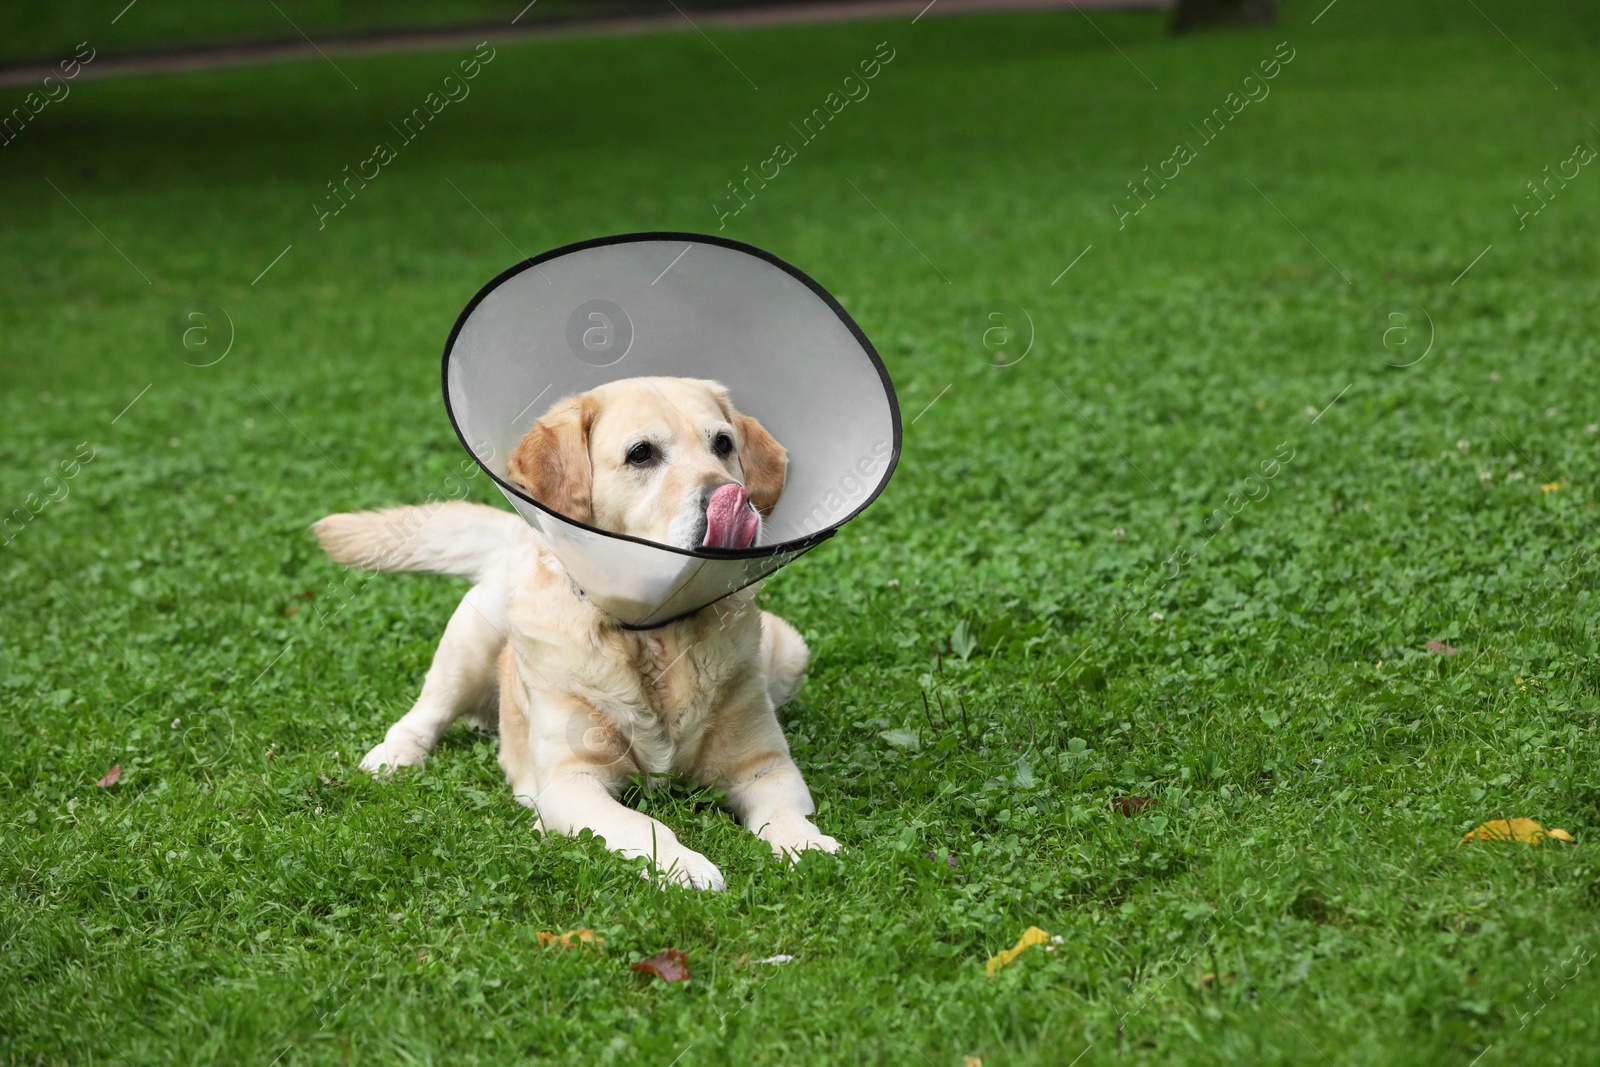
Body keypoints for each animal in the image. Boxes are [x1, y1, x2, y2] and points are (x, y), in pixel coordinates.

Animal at [310, 379, 838, 889]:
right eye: (641, 453)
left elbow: (784, 814)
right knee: (427, 712)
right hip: (468, 643)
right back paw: (394, 754)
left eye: (723, 444)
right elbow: (643, 825)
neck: (649, 635)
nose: (731, 497)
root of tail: (522, 534)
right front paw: (685, 866)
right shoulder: (571, 782)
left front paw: (809, 847)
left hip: (789, 652)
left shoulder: (767, 766)